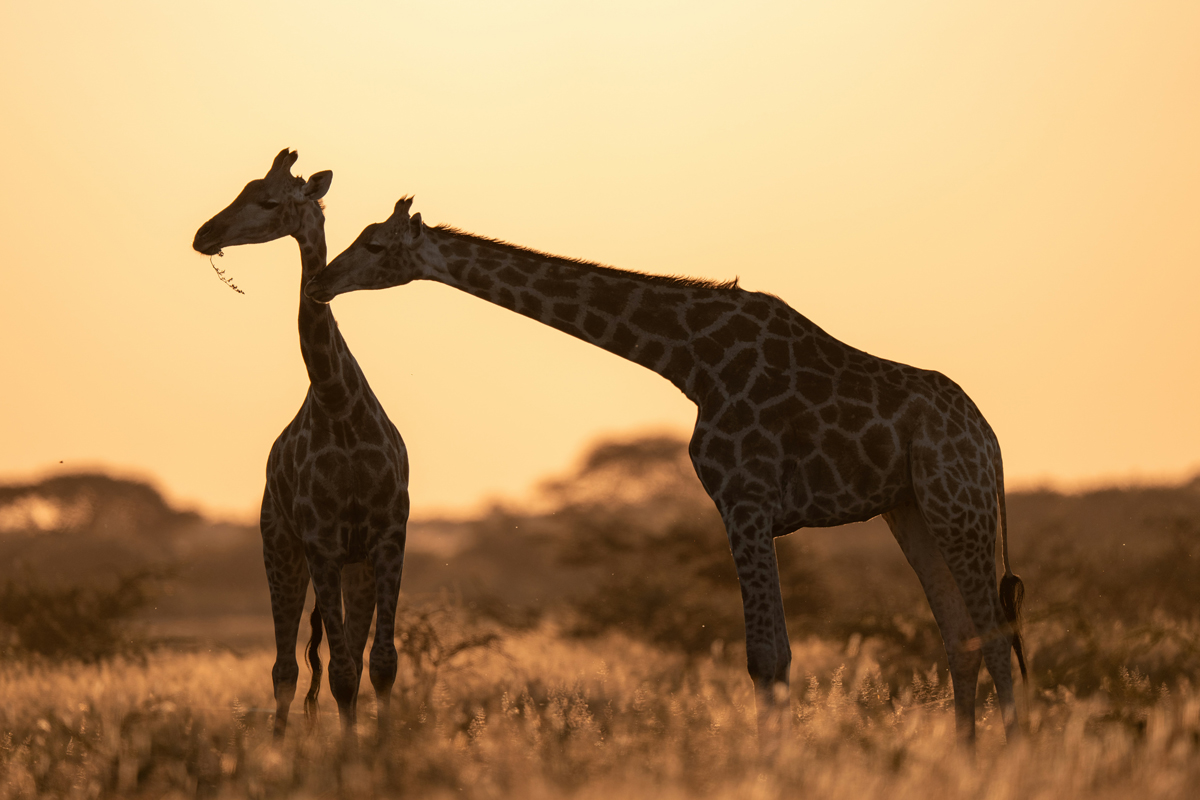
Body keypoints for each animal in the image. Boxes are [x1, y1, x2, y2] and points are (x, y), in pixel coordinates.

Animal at [192, 151, 409, 746]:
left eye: (268, 200)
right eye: (243, 190)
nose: (203, 235)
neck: (338, 404)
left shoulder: (387, 537)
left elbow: (379, 663)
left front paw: (383, 752)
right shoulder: (321, 541)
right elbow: (338, 672)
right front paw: (349, 755)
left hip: (353, 565)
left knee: (344, 656)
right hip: (279, 546)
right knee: (285, 668)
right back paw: (278, 749)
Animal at [304, 198, 1027, 748]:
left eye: (374, 244)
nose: (322, 282)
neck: (688, 358)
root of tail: (990, 439)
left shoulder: (745, 499)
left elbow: (768, 657)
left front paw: (774, 768)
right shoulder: (748, 507)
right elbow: (774, 656)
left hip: (955, 500)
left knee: (994, 634)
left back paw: (1010, 759)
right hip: (911, 508)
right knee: (961, 634)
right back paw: (964, 756)